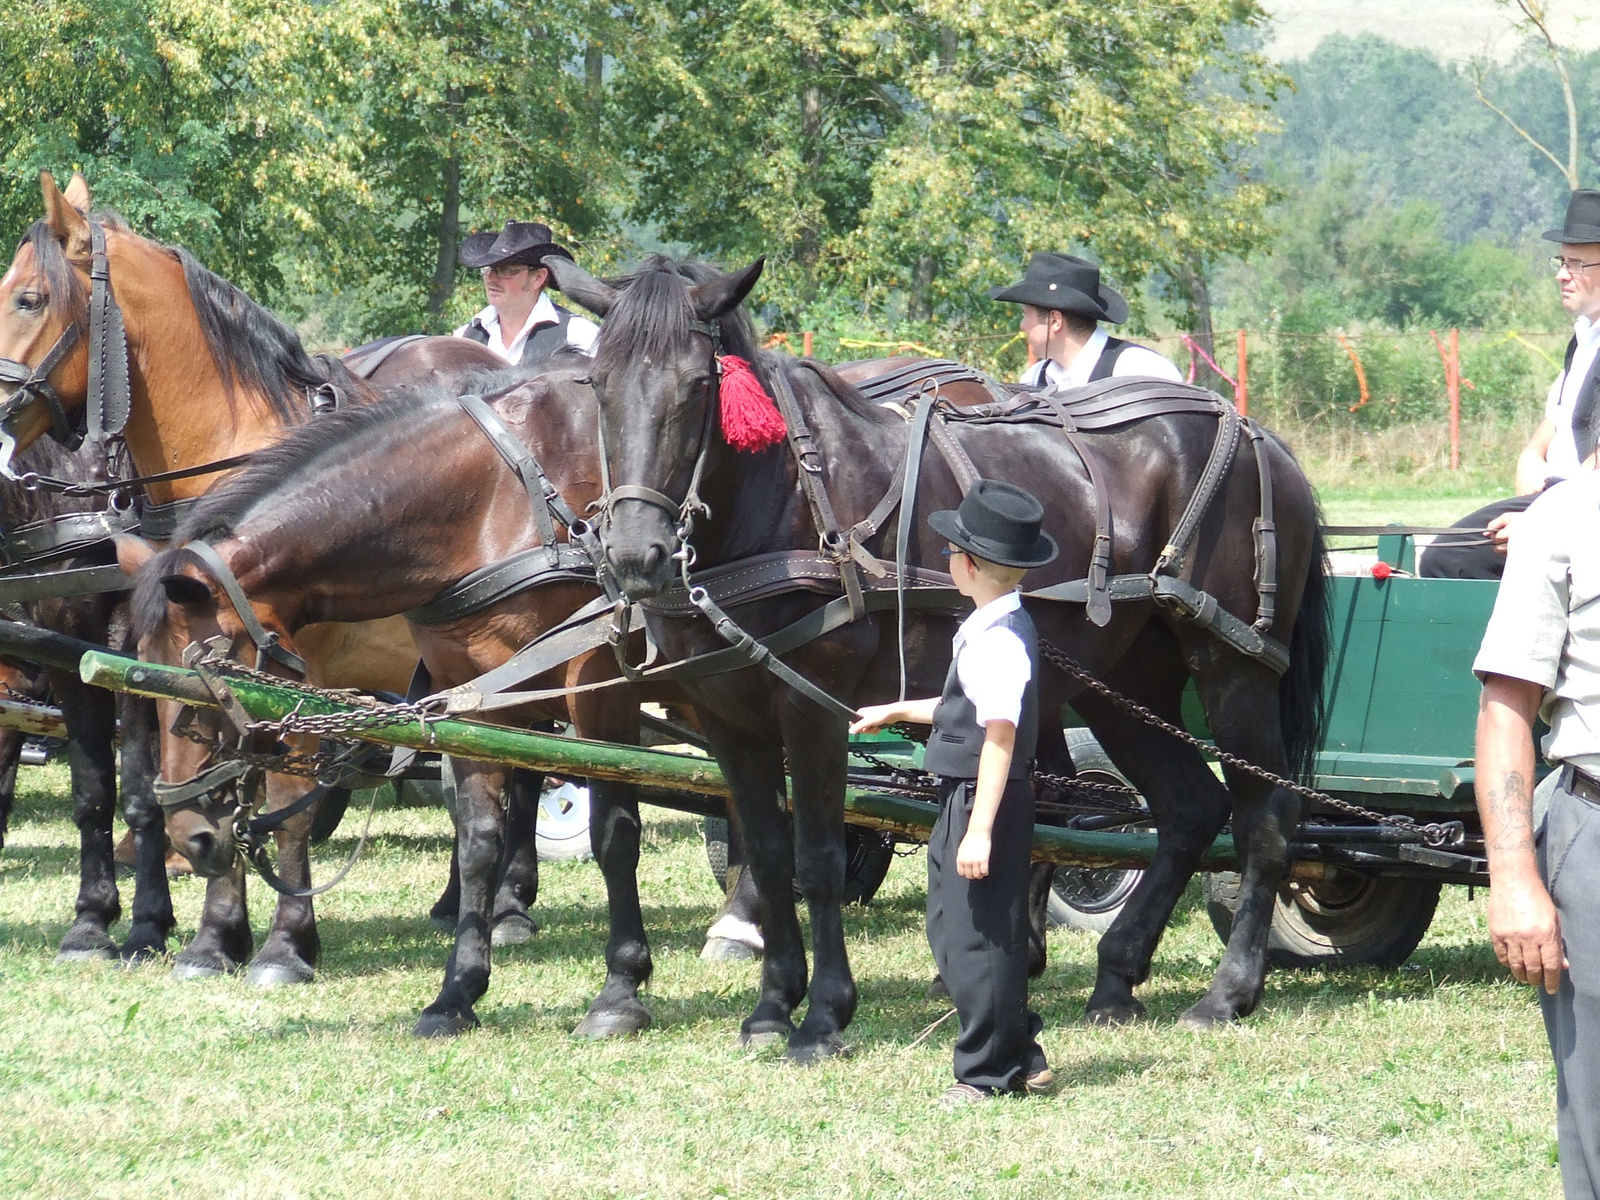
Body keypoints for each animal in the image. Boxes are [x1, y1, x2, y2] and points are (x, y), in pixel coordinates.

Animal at [547, 256, 1324, 1062]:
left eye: (698, 384)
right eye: (597, 383)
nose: (635, 554)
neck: (789, 502)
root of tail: (1264, 439)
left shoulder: (814, 710)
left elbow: (817, 859)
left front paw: (823, 1017)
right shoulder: (730, 720)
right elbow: (765, 852)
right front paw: (770, 1008)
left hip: (1231, 667)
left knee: (1265, 817)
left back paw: (1228, 991)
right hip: (1122, 679)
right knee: (1189, 808)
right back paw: (1117, 977)